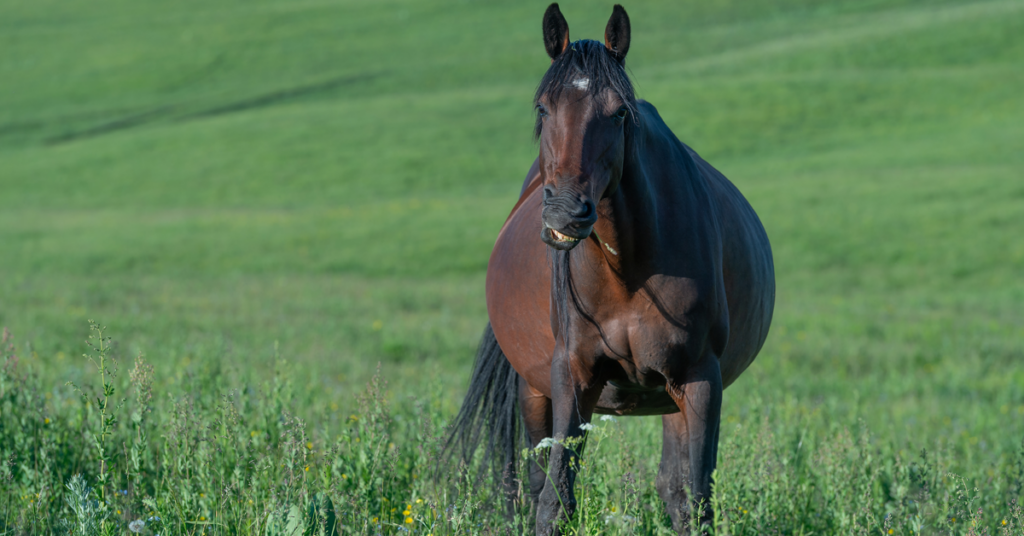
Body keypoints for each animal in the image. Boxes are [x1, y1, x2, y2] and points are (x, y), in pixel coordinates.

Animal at [447, 4, 775, 534]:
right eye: (543, 108)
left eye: (620, 111)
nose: (565, 212)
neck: (627, 272)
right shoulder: (572, 376)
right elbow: (555, 500)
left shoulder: (700, 379)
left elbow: (696, 498)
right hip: (533, 392)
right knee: (537, 483)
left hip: (674, 398)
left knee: (674, 489)